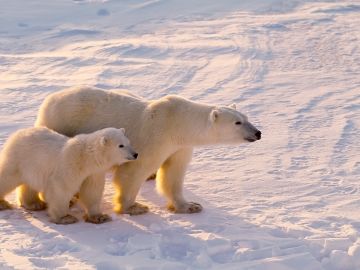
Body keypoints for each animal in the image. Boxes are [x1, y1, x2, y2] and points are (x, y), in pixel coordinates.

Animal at [31, 86, 262, 215]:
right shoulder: (156, 136)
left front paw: (189, 206)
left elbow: (173, 175)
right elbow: (134, 170)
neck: (178, 123)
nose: (258, 133)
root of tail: (48, 100)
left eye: (246, 117)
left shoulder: (179, 146)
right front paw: (133, 207)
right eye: (238, 122)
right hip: (62, 123)